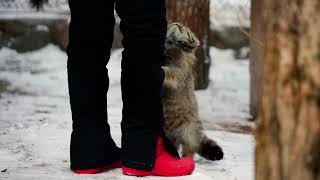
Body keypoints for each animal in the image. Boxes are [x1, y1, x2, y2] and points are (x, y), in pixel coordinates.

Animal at [161, 22, 224, 160]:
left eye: (185, 29)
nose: (176, 23)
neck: (173, 44)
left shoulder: (179, 69)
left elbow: (171, 73)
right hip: (169, 134)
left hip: (190, 130)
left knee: (190, 148)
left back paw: (187, 158)